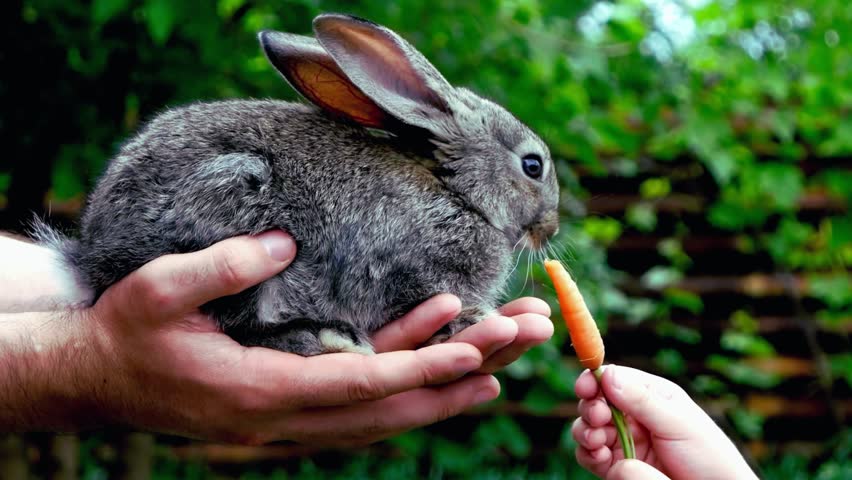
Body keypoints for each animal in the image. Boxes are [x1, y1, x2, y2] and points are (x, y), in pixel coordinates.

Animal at [40, 13, 560, 356]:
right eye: (532, 165)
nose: (550, 229)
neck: (457, 193)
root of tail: (95, 254)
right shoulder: (404, 269)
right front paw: (472, 319)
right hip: (232, 203)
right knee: (239, 321)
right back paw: (325, 335)